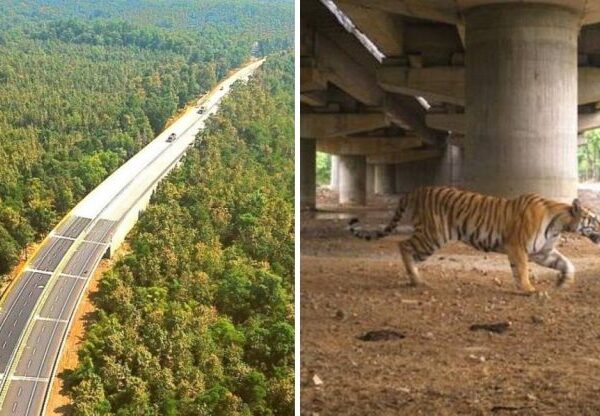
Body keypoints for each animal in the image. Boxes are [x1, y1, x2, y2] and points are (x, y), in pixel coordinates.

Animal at [346, 187, 600, 294]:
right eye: (596, 219)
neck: (560, 224)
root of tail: (417, 190)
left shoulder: (542, 252)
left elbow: (567, 264)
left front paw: (564, 282)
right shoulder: (517, 247)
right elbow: (522, 269)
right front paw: (528, 289)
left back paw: (415, 277)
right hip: (433, 236)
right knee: (403, 245)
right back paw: (416, 279)